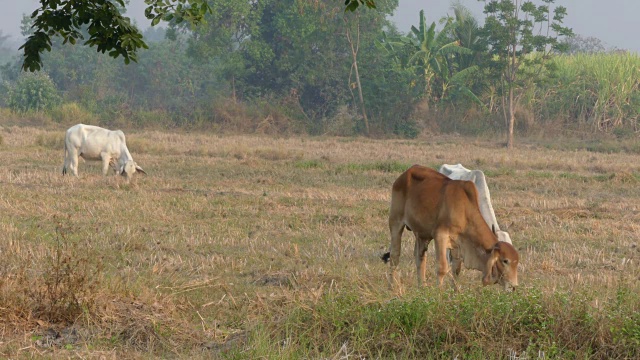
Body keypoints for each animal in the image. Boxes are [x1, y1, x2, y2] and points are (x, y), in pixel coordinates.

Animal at [382, 165, 516, 292]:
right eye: (505, 261)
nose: (513, 287)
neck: (464, 209)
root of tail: (406, 173)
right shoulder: (440, 236)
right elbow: (442, 268)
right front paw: (440, 292)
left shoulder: (458, 243)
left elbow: (456, 269)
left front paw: (455, 291)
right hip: (395, 222)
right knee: (394, 255)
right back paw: (391, 287)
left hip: (422, 234)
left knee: (420, 257)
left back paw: (422, 287)